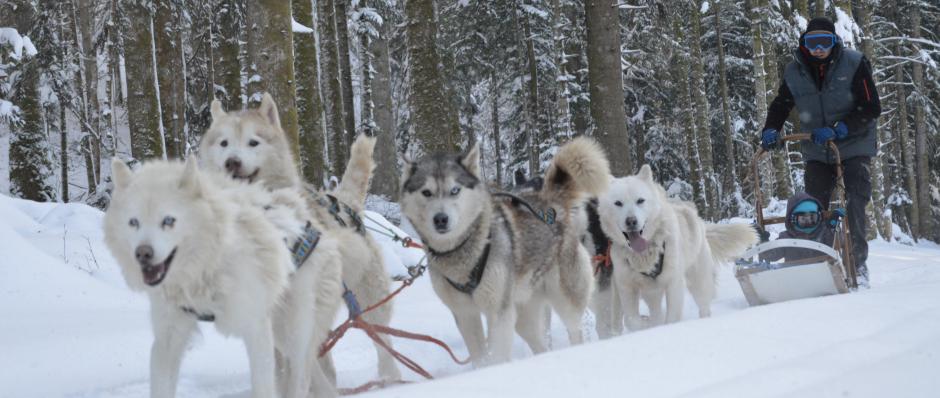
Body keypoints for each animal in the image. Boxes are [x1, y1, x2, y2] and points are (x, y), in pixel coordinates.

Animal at [103, 157, 346, 396]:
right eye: (133, 222)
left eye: (168, 220)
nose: (143, 254)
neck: (205, 269)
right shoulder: (167, 340)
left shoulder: (256, 331)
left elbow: (263, 388)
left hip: (292, 334)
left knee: (301, 377)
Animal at [200, 94, 402, 382]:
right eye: (224, 143)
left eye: (253, 142)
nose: (232, 162)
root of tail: (343, 201)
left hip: (368, 297)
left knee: (381, 339)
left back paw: (389, 376)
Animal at [402, 138, 608, 366]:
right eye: (426, 192)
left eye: (455, 190)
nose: (440, 219)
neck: (465, 249)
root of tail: (552, 200)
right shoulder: (465, 315)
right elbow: (480, 357)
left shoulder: (498, 312)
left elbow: (497, 354)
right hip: (523, 316)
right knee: (540, 344)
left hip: (563, 299)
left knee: (575, 330)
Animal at [600, 165, 760, 330]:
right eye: (618, 203)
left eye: (640, 200)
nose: (631, 221)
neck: (645, 254)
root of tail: (700, 221)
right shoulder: (627, 287)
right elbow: (632, 321)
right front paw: (647, 325)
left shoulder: (673, 283)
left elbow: (672, 317)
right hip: (651, 292)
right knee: (656, 311)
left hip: (698, 281)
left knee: (704, 305)